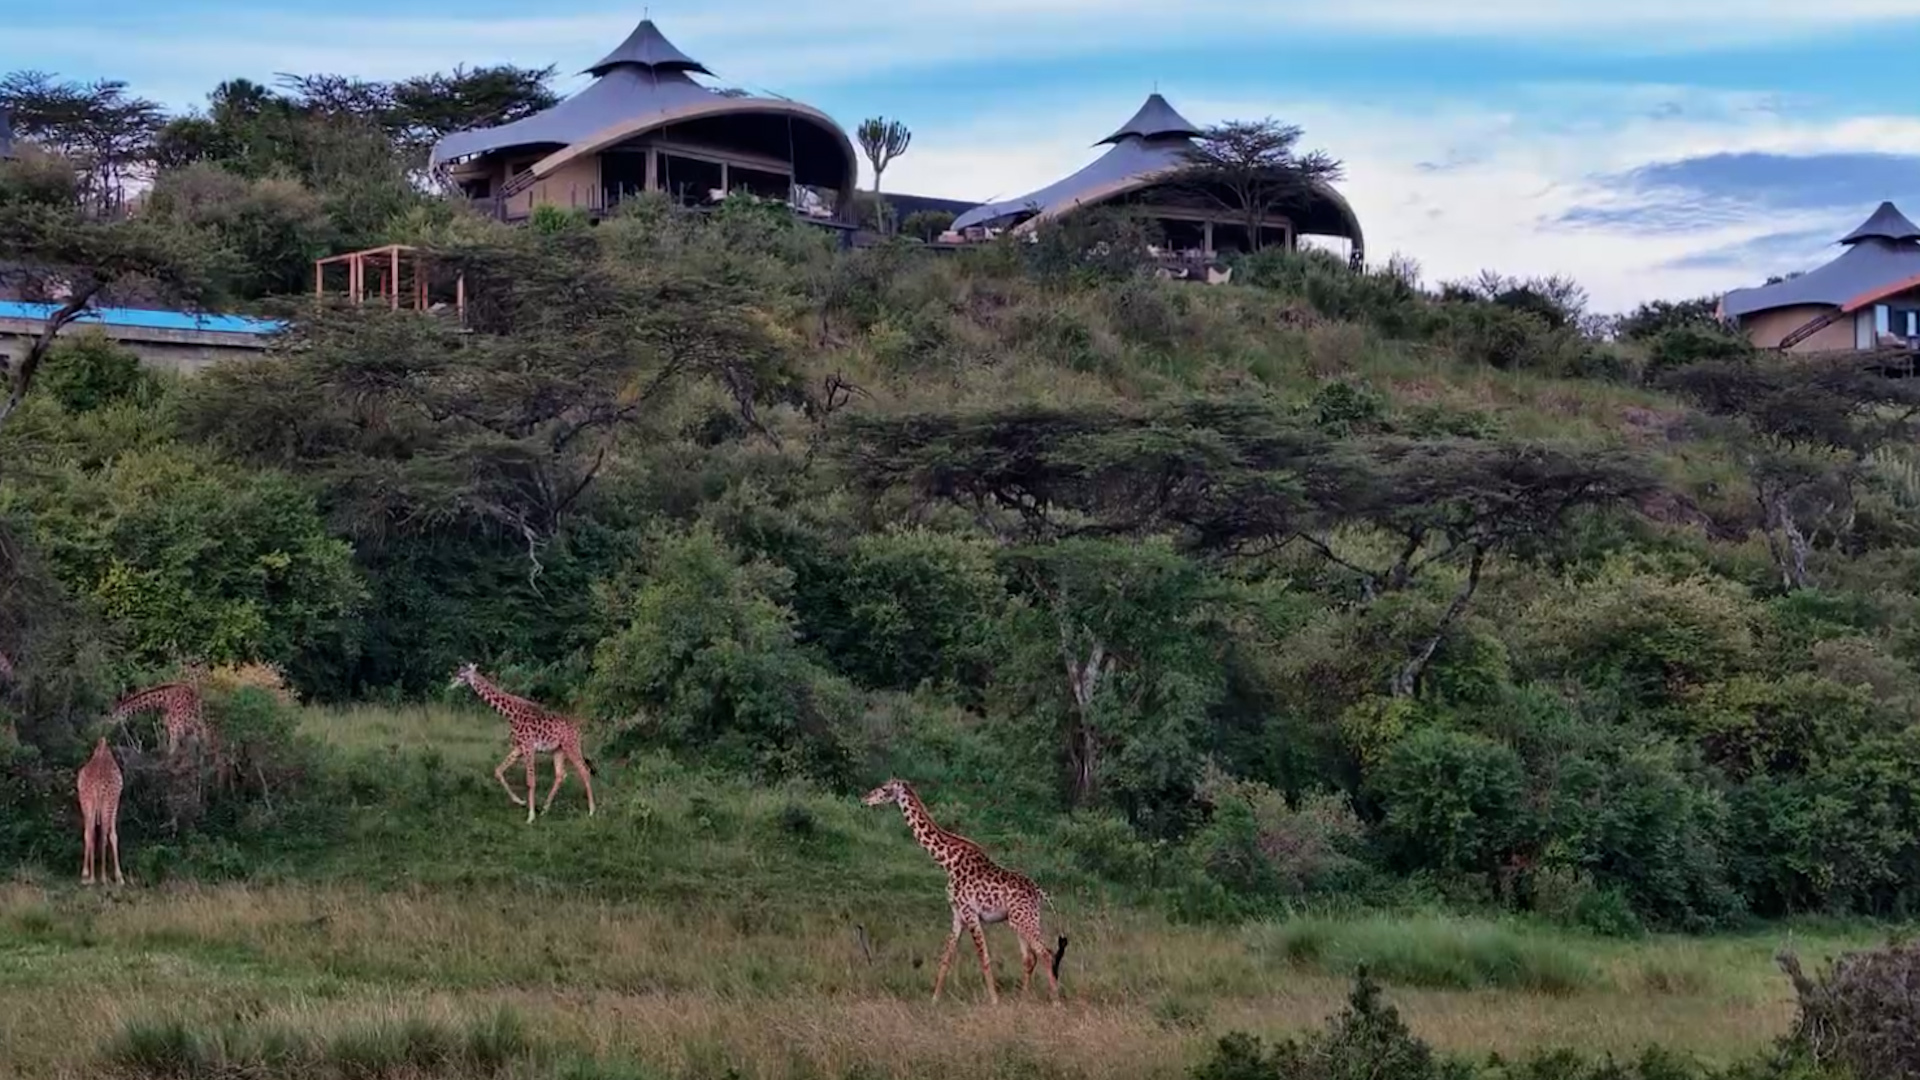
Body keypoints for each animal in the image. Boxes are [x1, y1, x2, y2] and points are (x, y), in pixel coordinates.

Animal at [76, 737, 125, 885]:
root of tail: (97, 784)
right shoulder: (115, 803)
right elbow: (113, 836)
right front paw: (119, 877)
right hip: (107, 803)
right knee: (103, 833)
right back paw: (102, 877)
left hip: (86, 802)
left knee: (89, 832)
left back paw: (87, 876)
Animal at [449, 663, 596, 824]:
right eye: (459, 671)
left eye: (462, 674)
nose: (451, 681)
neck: (511, 715)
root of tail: (578, 730)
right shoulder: (519, 747)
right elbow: (498, 771)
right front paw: (521, 802)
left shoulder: (528, 747)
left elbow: (530, 781)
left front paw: (530, 816)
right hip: (558, 750)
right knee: (560, 775)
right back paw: (545, 809)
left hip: (571, 746)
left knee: (584, 770)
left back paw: (591, 811)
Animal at [864, 778, 1066, 1004]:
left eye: (884, 789)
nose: (865, 799)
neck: (947, 862)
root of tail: (1039, 891)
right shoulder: (957, 915)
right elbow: (946, 957)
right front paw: (934, 999)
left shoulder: (970, 913)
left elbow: (983, 957)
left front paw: (994, 1001)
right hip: (1021, 920)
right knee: (1030, 957)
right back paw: (1023, 999)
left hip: (1023, 919)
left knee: (1046, 952)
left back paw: (1056, 1001)